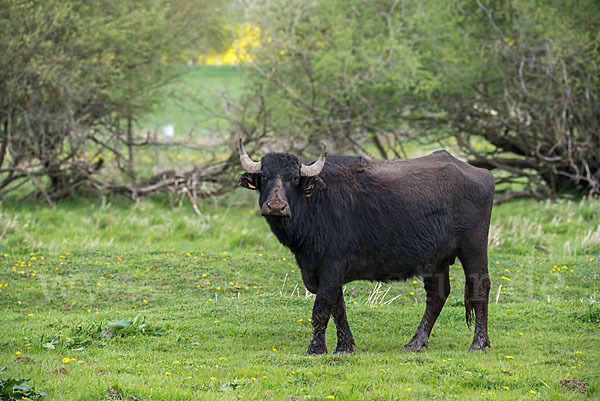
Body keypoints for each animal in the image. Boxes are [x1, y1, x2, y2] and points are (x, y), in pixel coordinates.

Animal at [237, 138, 494, 354]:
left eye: (294, 178)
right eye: (264, 175)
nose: (276, 206)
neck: (315, 204)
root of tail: (483, 174)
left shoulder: (332, 265)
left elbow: (322, 308)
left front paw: (316, 348)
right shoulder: (322, 270)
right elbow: (338, 308)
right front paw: (345, 346)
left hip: (473, 247)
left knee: (480, 287)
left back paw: (478, 343)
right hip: (436, 258)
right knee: (437, 295)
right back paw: (416, 342)